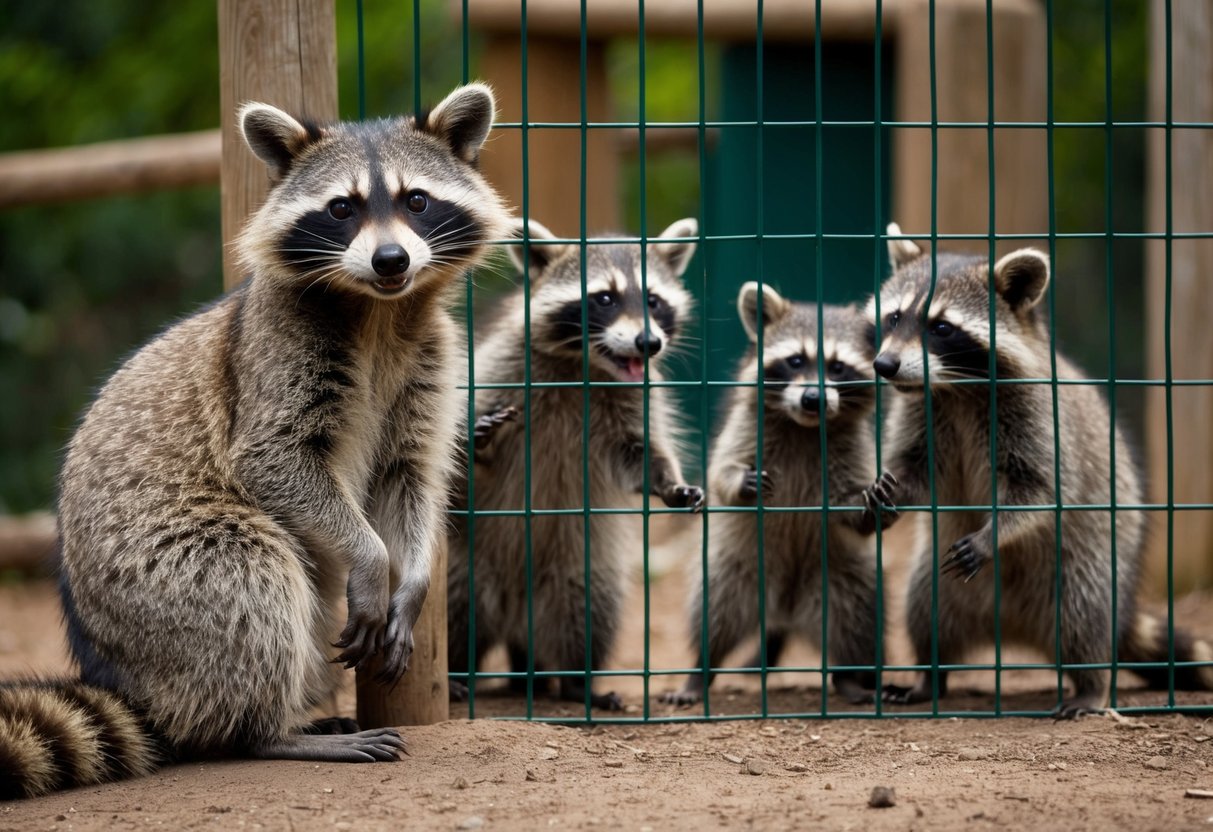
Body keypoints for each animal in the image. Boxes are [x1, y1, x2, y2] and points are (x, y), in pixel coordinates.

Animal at [1, 84, 509, 799]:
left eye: (417, 200)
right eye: (343, 208)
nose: (392, 260)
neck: (379, 309)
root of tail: (127, 679)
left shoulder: (427, 364)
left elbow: (410, 476)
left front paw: (411, 578)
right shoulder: (273, 357)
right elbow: (273, 460)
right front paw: (373, 558)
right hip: (161, 576)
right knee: (254, 581)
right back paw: (268, 731)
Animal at [447, 218, 704, 710]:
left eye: (654, 300)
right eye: (604, 298)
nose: (649, 343)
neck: (584, 365)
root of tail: (514, 617)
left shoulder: (633, 401)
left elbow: (640, 453)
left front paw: (669, 481)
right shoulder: (501, 369)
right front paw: (476, 439)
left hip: (580, 566)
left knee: (585, 614)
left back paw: (576, 683)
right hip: (466, 565)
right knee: (455, 609)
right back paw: (453, 673)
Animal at [660, 284, 896, 707]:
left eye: (838, 367)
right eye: (796, 360)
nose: (812, 399)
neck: (805, 428)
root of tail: (785, 610)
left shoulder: (854, 447)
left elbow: (848, 508)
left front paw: (870, 508)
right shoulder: (744, 429)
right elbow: (720, 472)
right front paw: (739, 481)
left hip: (842, 577)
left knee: (855, 623)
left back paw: (849, 678)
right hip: (734, 571)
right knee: (714, 616)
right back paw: (700, 672)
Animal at [870, 223, 1213, 717]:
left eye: (941, 327)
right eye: (895, 318)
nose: (884, 365)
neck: (957, 388)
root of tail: (1013, 627)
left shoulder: (1037, 413)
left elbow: (1042, 489)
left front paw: (995, 533)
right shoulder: (922, 411)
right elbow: (914, 468)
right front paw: (889, 491)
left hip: (1085, 569)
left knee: (1083, 619)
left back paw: (1091, 684)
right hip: (936, 584)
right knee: (925, 613)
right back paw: (929, 676)